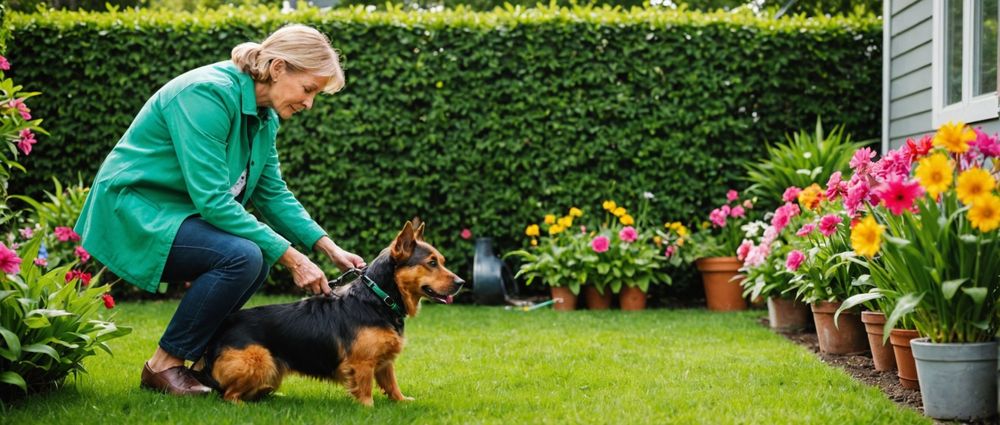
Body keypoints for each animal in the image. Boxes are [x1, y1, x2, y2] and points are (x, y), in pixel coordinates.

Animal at [197, 219, 466, 404]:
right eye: (431, 263)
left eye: (441, 261)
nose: (462, 282)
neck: (378, 297)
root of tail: (218, 335)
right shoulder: (363, 363)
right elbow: (365, 389)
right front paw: (368, 409)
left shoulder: (385, 361)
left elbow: (392, 383)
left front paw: (401, 402)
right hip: (261, 360)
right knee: (228, 395)